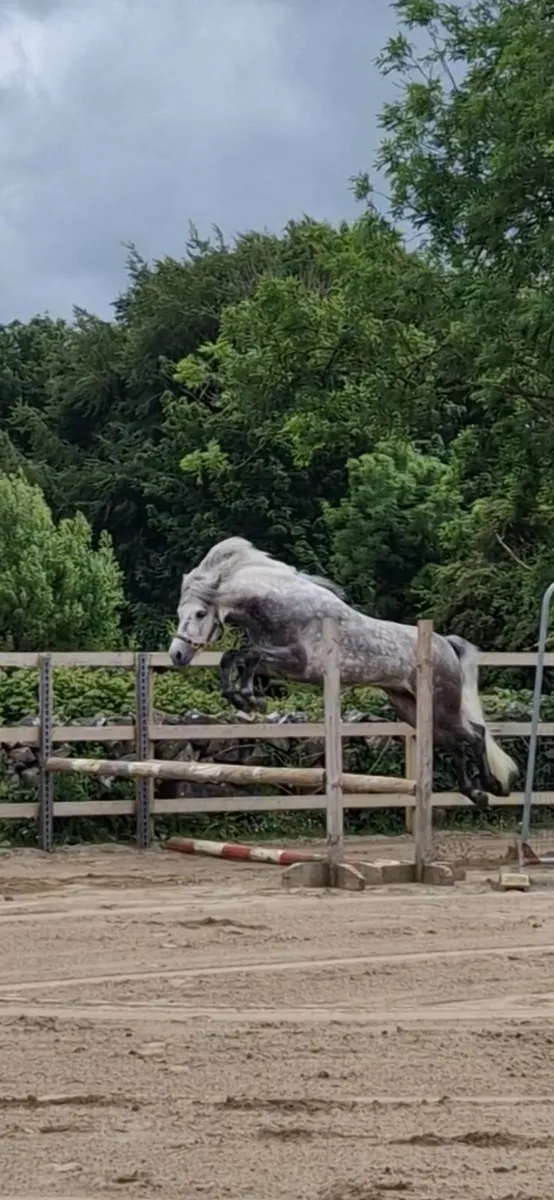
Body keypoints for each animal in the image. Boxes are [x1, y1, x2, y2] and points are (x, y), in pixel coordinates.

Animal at [168, 536, 518, 810]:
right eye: (181, 613)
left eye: (199, 614)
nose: (177, 655)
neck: (278, 606)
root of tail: (445, 644)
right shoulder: (280, 661)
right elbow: (235, 657)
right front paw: (243, 698)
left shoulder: (300, 663)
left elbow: (247, 656)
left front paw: (250, 699)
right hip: (410, 706)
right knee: (455, 741)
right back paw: (475, 792)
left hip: (441, 704)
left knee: (474, 735)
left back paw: (492, 787)